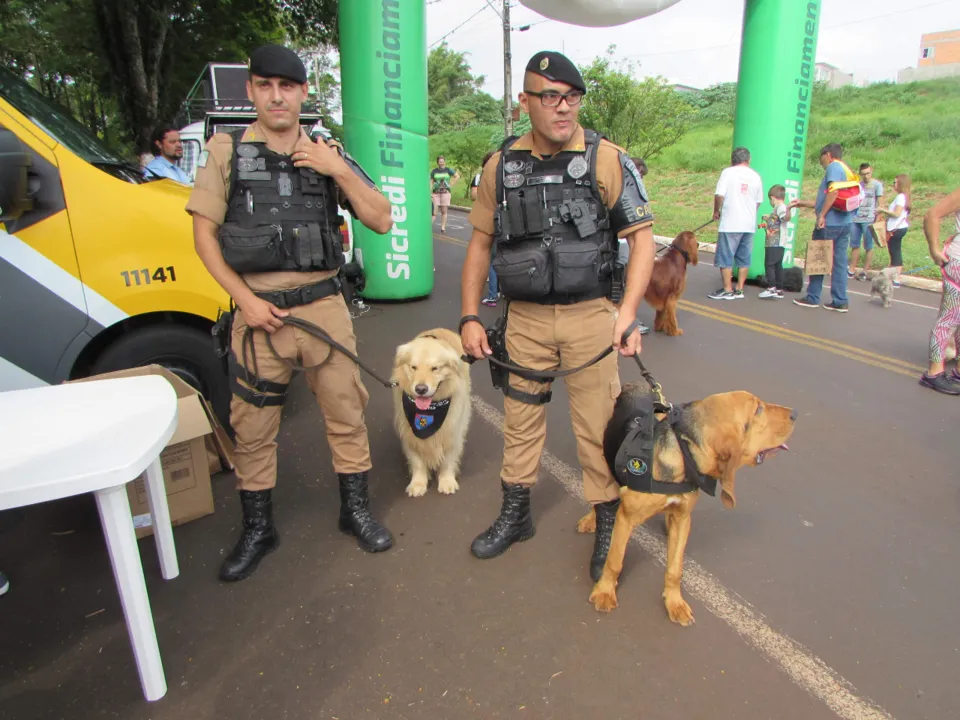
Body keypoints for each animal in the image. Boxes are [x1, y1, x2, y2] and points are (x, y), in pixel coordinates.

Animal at [390, 330, 472, 498]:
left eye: (435, 368)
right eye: (413, 367)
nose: (421, 389)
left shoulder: (452, 430)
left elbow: (448, 460)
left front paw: (447, 482)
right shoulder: (408, 432)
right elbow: (417, 462)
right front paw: (418, 484)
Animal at [576, 382, 796, 624]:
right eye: (758, 409)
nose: (795, 414)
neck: (683, 454)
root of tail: (636, 383)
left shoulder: (683, 518)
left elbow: (675, 569)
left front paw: (675, 603)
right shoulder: (626, 518)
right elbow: (614, 560)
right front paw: (605, 592)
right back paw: (591, 519)